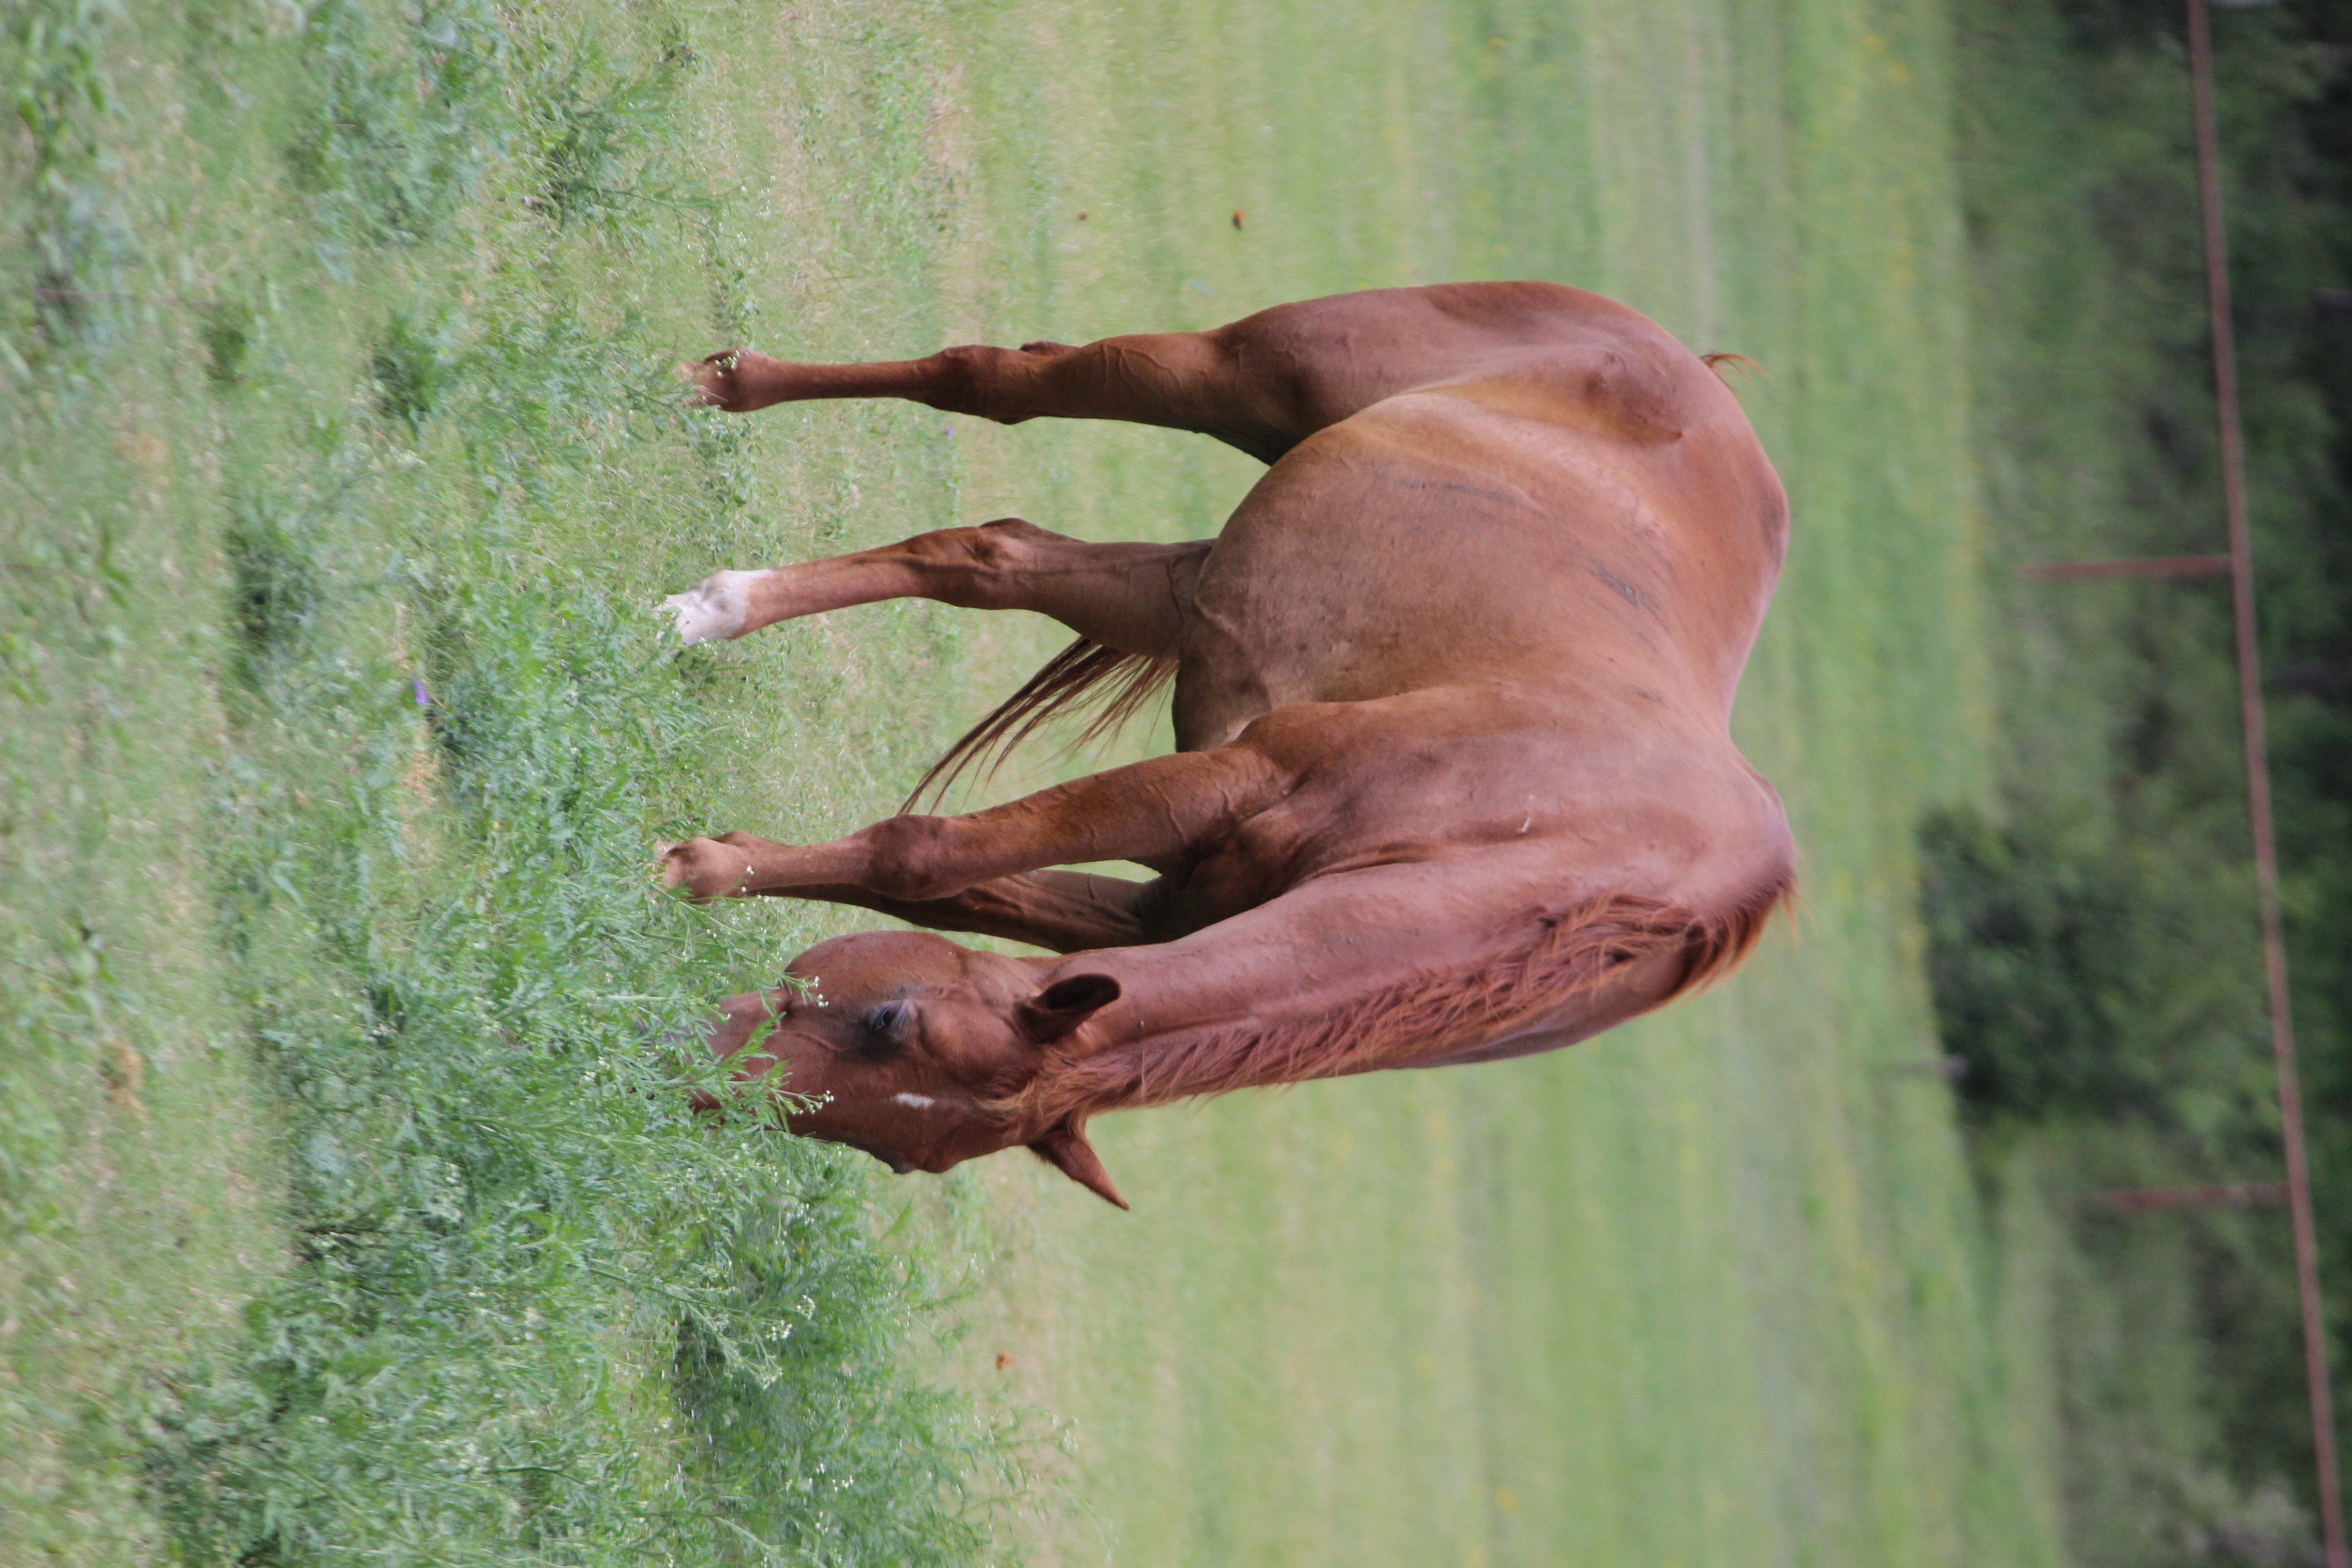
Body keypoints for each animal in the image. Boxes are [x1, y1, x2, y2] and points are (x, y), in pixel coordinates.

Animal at [658, 282, 1794, 1207]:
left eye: (895, 1147)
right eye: (884, 1019)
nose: (684, 1071)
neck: (1558, 848)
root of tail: (1689, 362)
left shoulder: (1169, 909)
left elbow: (937, 888)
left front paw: (718, 864)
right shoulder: (1232, 777)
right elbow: (923, 854)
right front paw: (693, 870)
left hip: (1194, 588)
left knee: (987, 556)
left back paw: (717, 607)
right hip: (1229, 375)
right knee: (992, 382)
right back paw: (720, 390)